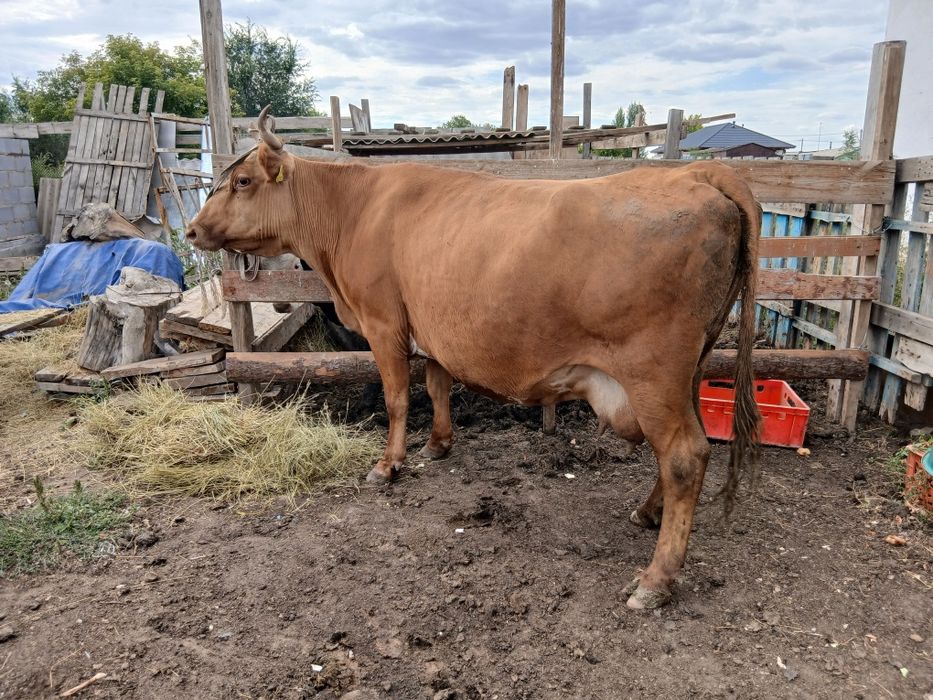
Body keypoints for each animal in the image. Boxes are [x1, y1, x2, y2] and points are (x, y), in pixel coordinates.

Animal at [187, 106, 761, 609]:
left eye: (242, 182)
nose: (192, 230)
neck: (353, 210)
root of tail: (698, 173)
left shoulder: (383, 323)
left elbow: (398, 398)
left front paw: (388, 465)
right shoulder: (434, 327)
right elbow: (438, 384)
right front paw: (438, 444)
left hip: (652, 372)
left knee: (684, 456)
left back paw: (655, 581)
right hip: (690, 366)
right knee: (686, 447)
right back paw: (646, 512)